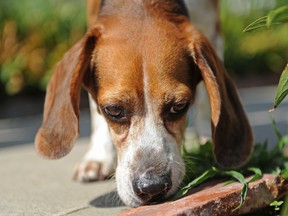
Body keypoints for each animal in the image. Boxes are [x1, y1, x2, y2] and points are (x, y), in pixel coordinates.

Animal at [35, 0, 253, 207]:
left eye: (179, 106)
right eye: (113, 110)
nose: (152, 187)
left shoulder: (212, 29)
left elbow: (207, 100)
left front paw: (207, 139)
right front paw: (99, 156)